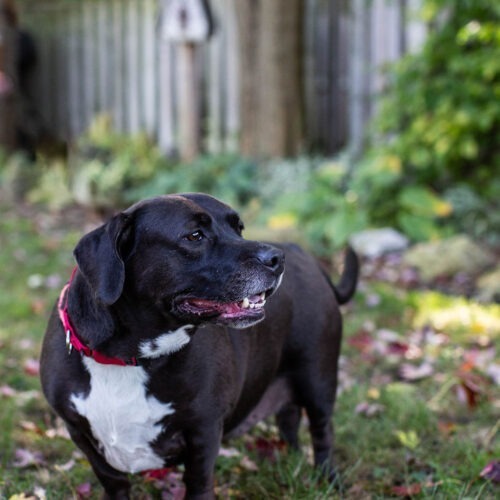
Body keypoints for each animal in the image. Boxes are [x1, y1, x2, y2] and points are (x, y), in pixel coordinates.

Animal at [40, 193, 360, 498]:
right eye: (194, 236)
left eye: (238, 228)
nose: (276, 258)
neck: (129, 357)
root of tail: (304, 254)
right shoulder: (82, 435)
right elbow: (113, 482)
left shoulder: (203, 432)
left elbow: (198, 483)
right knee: (289, 418)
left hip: (317, 378)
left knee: (322, 431)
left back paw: (328, 479)